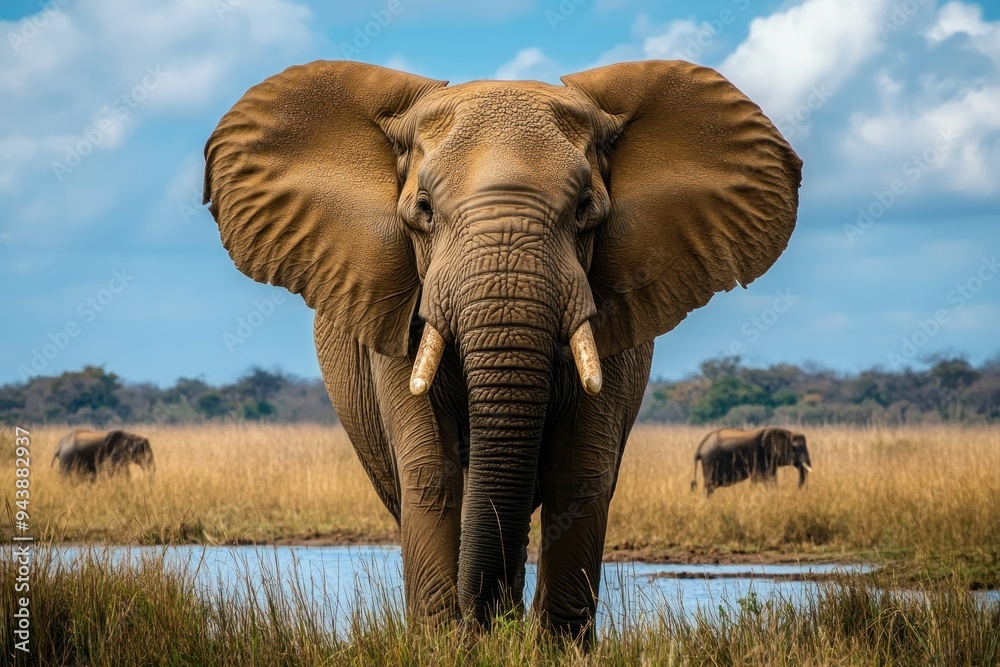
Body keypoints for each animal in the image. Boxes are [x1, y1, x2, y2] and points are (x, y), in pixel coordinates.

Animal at [203, 59, 801, 639]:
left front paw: (554, 647)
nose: (481, 622)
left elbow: (581, 471)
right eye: (424, 210)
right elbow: (431, 471)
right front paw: (445, 644)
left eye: (586, 209)